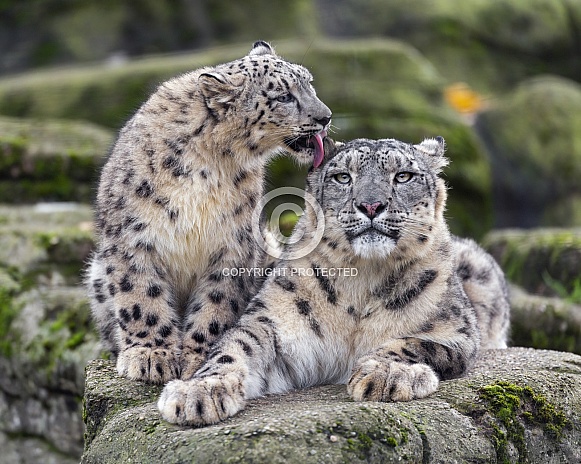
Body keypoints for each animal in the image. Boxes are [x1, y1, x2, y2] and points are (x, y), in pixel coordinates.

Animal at [85, 41, 330, 384]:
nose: (326, 117)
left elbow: (216, 303)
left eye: (309, 83)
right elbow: (141, 295)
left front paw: (198, 356)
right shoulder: (133, 236)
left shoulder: (233, 244)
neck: (211, 163)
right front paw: (150, 354)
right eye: (283, 96)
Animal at [157, 136, 508, 426]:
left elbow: (413, 343)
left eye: (403, 176)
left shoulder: (455, 332)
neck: (363, 281)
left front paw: (387, 374)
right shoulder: (274, 323)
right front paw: (197, 392)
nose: (370, 205)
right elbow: (235, 347)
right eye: (343, 177)